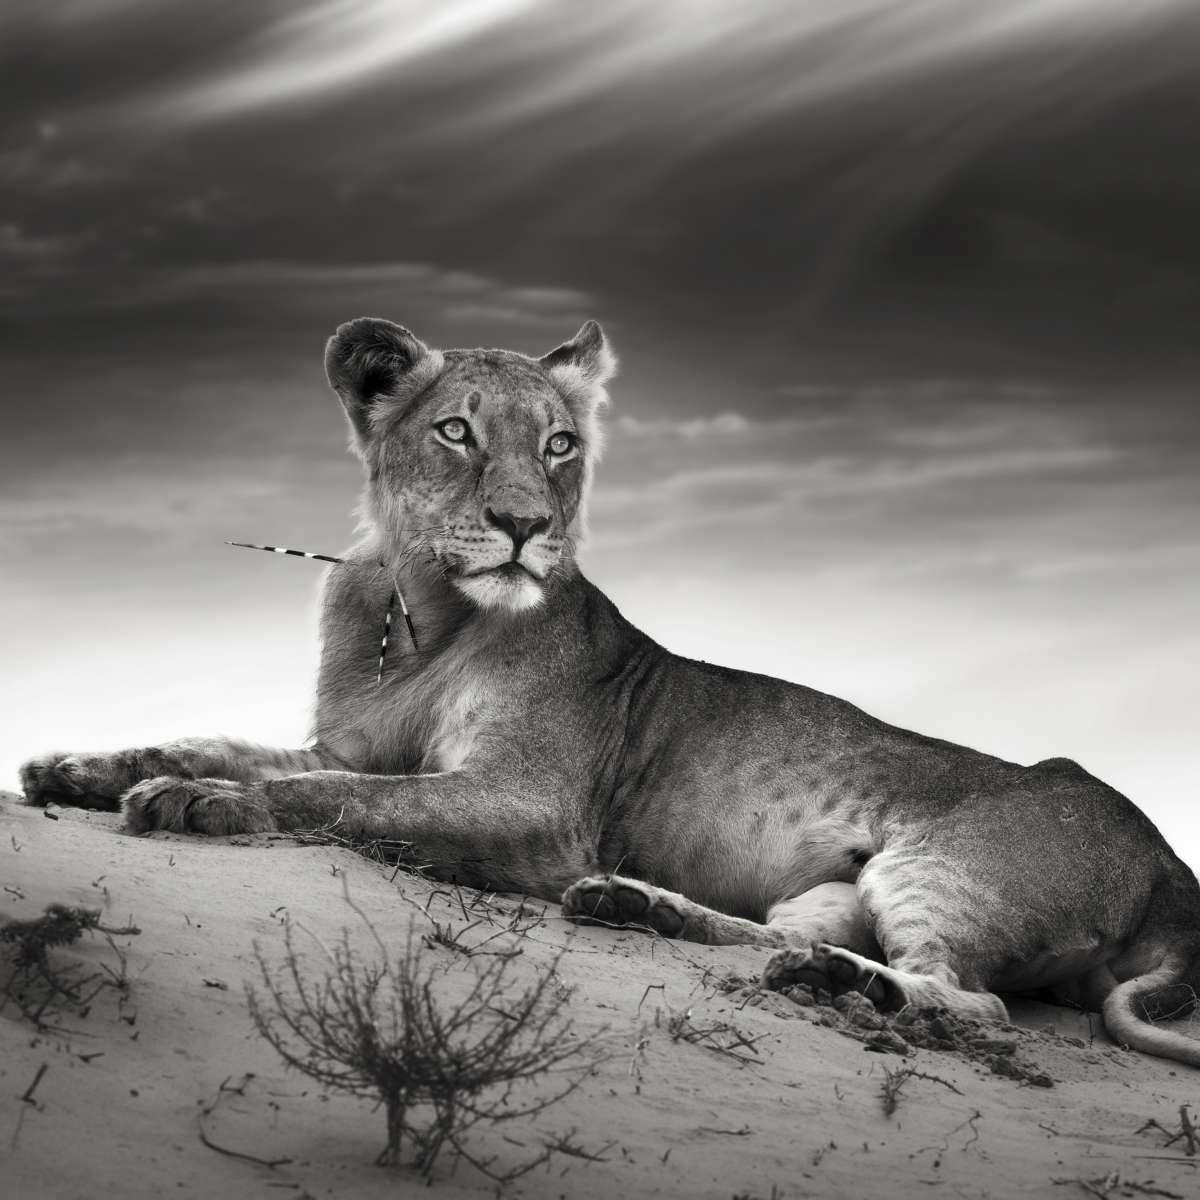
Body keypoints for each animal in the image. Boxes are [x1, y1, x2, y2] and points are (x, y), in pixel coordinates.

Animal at [21, 316, 1200, 1067]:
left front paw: (196, 803)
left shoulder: (536, 805)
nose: (524, 525)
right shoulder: (349, 745)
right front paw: (82, 767)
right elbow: (221, 741)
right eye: (456, 431)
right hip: (839, 885)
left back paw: (849, 989)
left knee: (977, 1003)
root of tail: (1170, 865)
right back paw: (660, 916)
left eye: (559, 444)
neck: (421, 613)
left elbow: (329, 800)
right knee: (790, 937)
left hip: (942, 868)